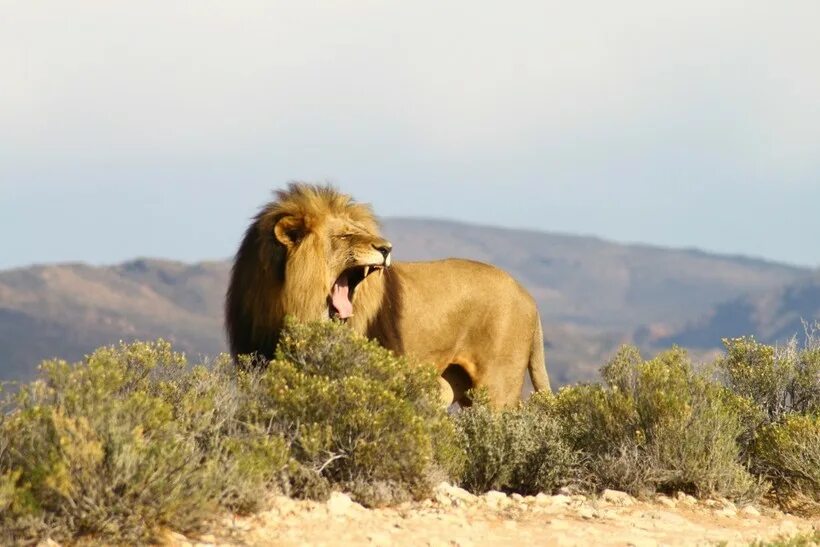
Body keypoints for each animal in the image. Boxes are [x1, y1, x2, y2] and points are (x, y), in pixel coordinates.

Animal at [224, 184, 552, 406]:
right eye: (345, 235)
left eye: (360, 230)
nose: (386, 247)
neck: (284, 301)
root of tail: (527, 296)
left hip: (496, 385)